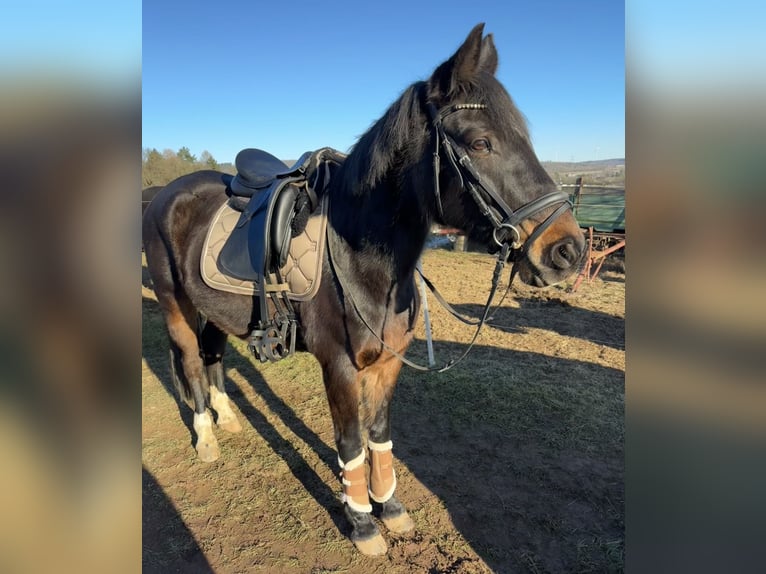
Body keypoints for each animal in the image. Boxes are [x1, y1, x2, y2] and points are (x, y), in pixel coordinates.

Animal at [142, 23, 586, 556]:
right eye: (481, 143)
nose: (568, 250)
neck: (364, 259)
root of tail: (165, 193)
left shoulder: (389, 361)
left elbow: (379, 436)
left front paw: (388, 507)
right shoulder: (338, 365)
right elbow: (350, 442)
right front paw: (361, 523)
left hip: (216, 310)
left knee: (212, 357)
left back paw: (227, 418)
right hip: (175, 304)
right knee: (190, 360)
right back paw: (207, 437)